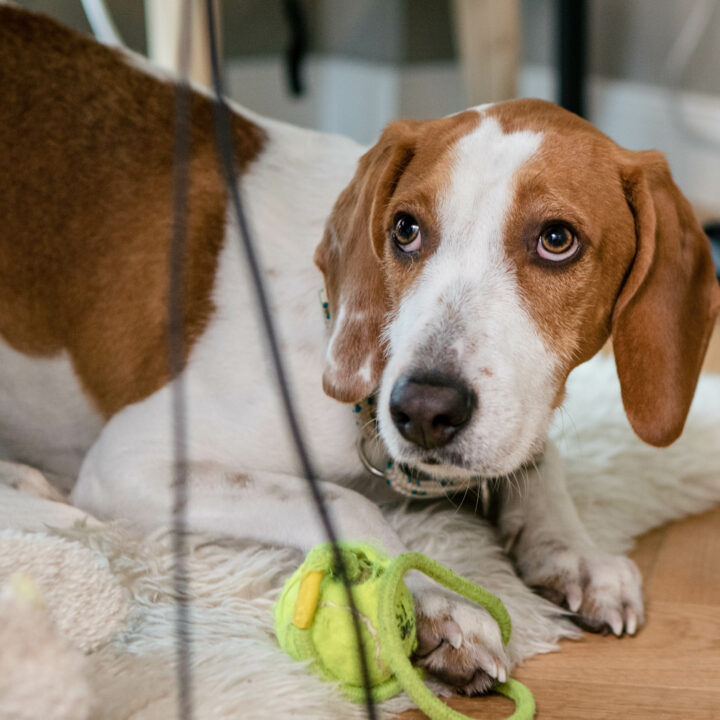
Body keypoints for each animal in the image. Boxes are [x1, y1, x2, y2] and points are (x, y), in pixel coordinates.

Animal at [1, 4, 720, 692]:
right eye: (405, 229)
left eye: (557, 239)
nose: (423, 410)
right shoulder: (131, 460)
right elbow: (345, 502)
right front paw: (428, 600)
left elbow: (540, 459)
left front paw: (572, 548)